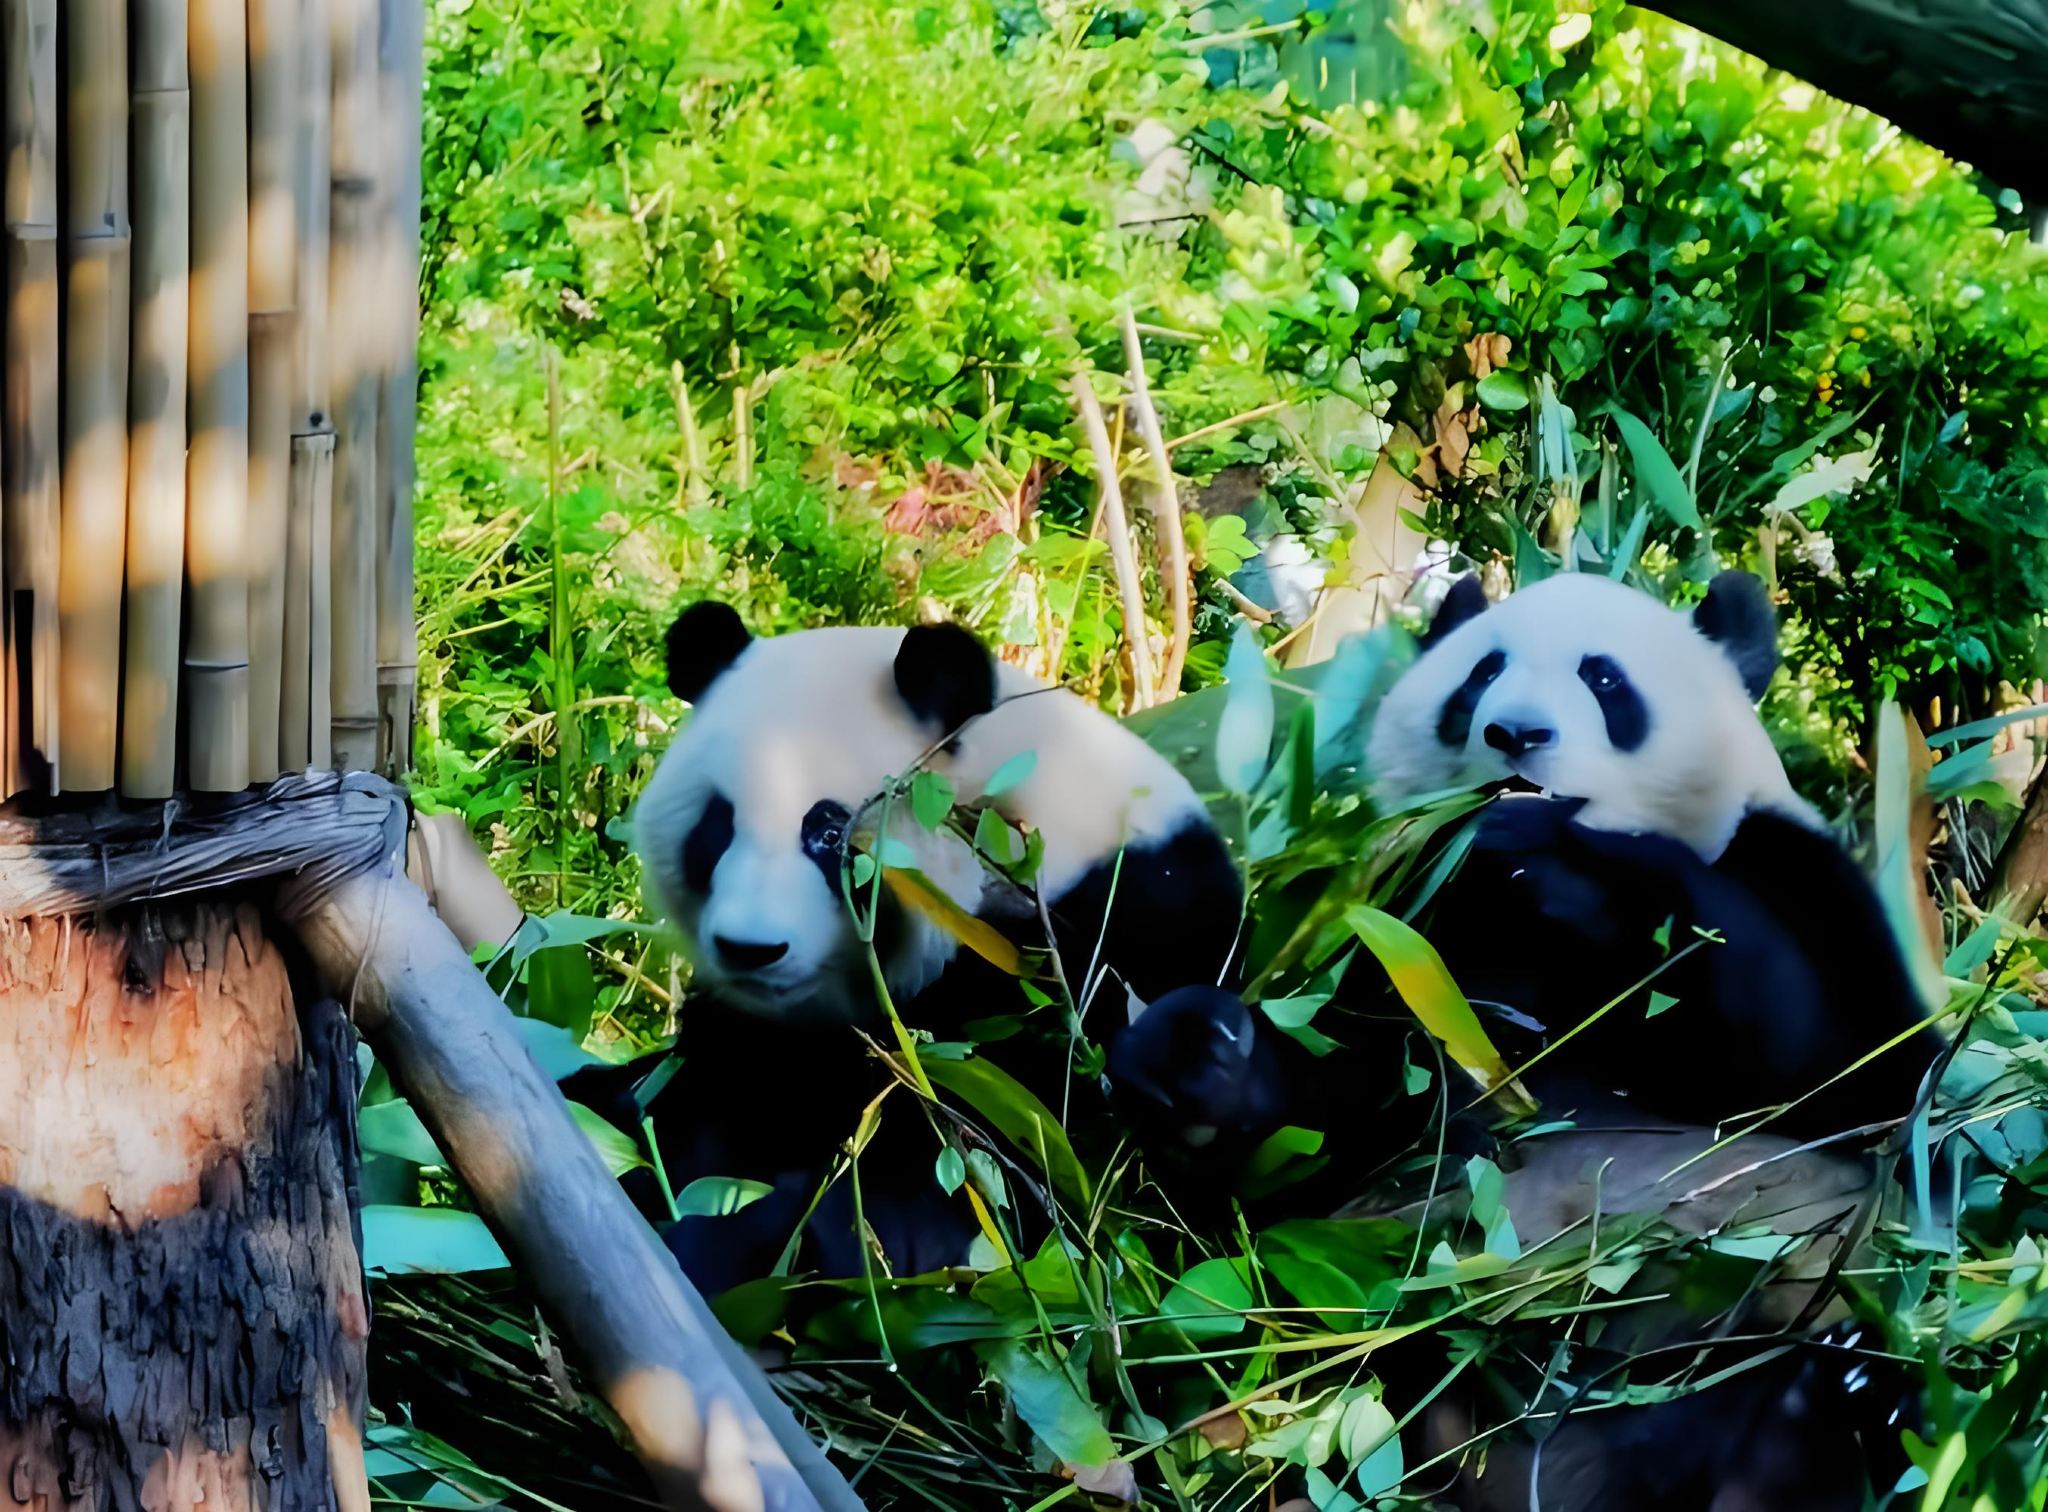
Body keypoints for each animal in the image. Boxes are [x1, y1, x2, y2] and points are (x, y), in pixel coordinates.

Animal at [562, 601, 1247, 1296]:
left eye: (828, 829)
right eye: (716, 826)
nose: (749, 949)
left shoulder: (1095, 950)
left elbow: (955, 1195)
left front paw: (727, 1244)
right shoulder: (760, 1039)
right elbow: (697, 1099)